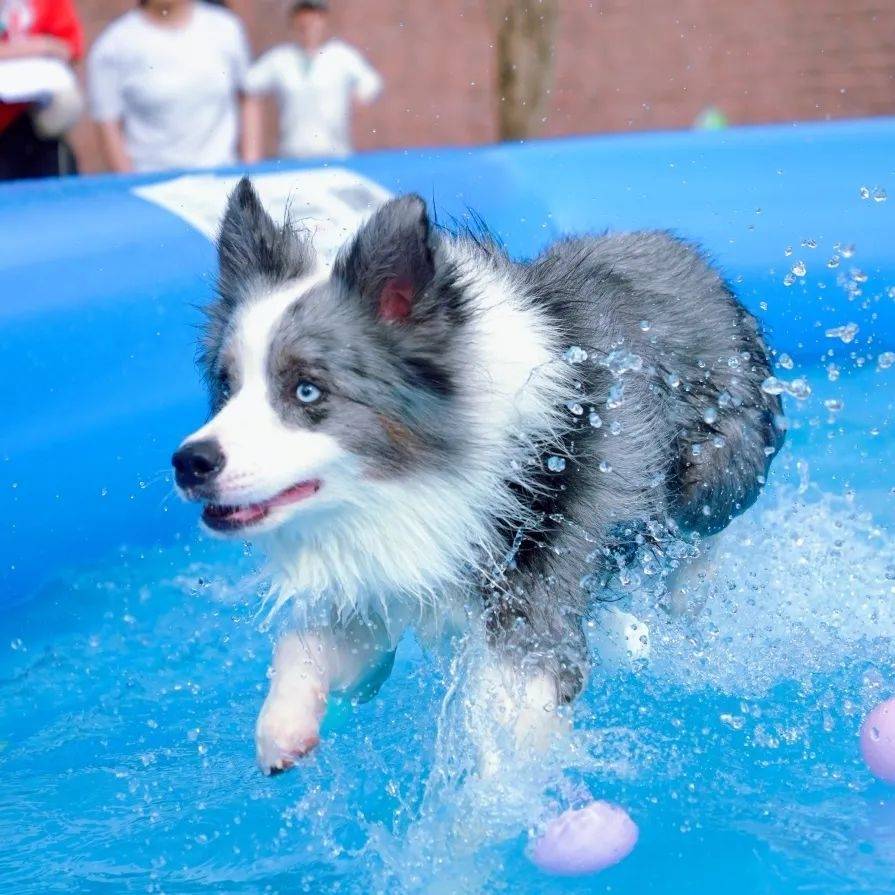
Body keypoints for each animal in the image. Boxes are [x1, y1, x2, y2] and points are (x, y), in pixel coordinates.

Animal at [170, 178, 784, 772]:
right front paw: (285, 729)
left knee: (701, 537)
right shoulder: (382, 569)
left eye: (306, 390)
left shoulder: (535, 597)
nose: (190, 462)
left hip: (719, 475)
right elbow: (311, 644)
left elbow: (511, 735)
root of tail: (688, 254)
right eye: (227, 386)